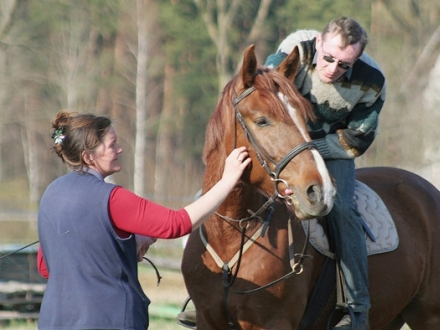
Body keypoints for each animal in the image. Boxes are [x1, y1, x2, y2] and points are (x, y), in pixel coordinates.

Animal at [180, 44, 440, 330]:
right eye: (262, 121)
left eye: (305, 120)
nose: (320, 191)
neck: (232, 234)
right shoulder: (207, 319)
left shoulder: (274, 322)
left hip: (429, 316)